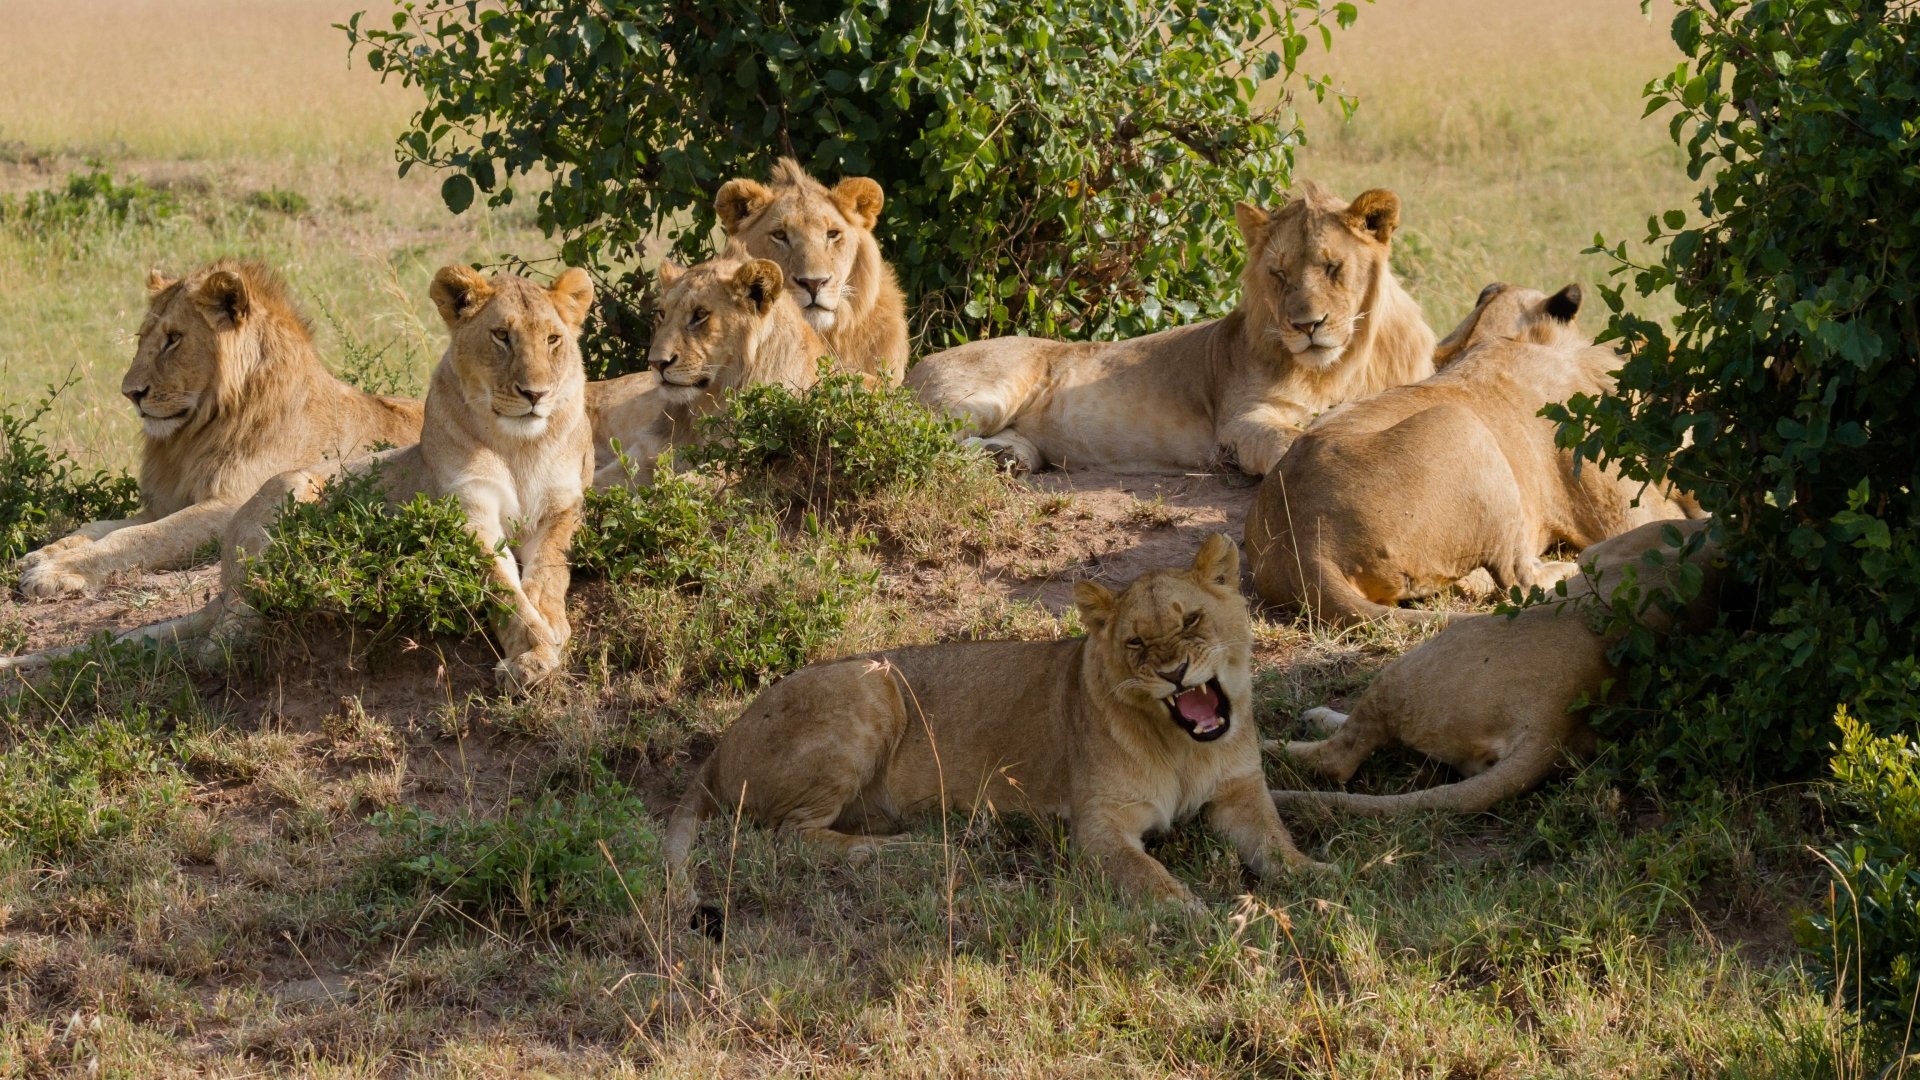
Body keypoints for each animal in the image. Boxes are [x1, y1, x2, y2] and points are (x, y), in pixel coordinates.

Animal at [16, 261, 423, 598]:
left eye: (173, 338)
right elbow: (99, 526)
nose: (130, 393)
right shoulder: (168, 501)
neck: (193, 436)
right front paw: (42, 554)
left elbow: (137, 538)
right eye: (141, 337)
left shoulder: (232, 503)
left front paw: (56, 570)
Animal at [586, 250, 827, 488]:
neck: (706, 405)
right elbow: (595, 486)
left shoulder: (736, 465)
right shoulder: (644, 455)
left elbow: (676, 486)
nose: (656, 363)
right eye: (662, 313)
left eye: (700, 314)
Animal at [663, 534, 1321, 914]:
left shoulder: (1239, 794)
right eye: (1135, 642)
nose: (1175, 672)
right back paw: (912, 850)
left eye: (1190, 621)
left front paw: (1319, 882)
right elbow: (1145, 872)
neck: (1187, 749)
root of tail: (720, 744)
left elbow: (1276, 843)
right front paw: (1192, 912)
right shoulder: (1099, 824)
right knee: (789, 836)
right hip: (872, 682)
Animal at [903, 180, 1437, 476]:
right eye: (1279, 274)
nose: (1307, 325)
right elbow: (1289, 441)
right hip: (985, 394)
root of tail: (912, 367)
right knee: (914, 436)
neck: (1343, 365)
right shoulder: (1239, 421)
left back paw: (1006, 459)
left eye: (1332, 267)